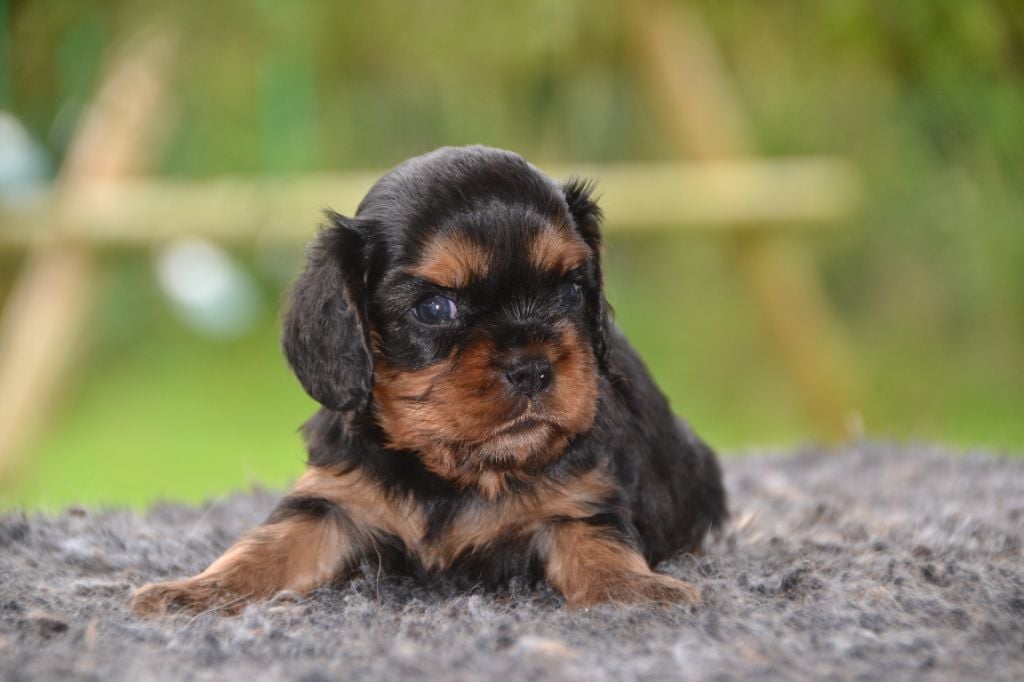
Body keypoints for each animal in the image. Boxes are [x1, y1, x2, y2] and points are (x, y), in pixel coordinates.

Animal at [132, 143, 729, 610]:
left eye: (569, 291)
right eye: (436, 308)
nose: (533, 368)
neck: (456, 472)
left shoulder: (580, 500)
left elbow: (601, 547)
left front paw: (640, 592)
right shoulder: (333, 499)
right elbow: (267, 544)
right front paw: (193, 591)